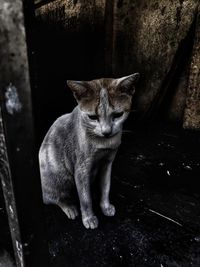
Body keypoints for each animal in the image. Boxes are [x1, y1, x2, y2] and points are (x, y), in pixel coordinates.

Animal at [38, 73, 139, 230]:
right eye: (92, 117)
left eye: (118, 115)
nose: (106, 132)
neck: (103, 143)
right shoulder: (81, 168)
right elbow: (85, 198)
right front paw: (89, 218)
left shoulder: (107, 163)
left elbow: (106, 187)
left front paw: (105, 206)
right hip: (60, 175)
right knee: (52, 198)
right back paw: (69, 207)